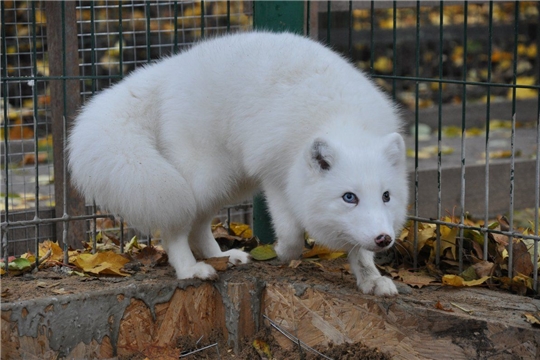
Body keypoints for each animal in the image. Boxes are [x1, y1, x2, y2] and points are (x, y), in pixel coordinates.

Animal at [67, 31, 408, 296]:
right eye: (349, 197)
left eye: (386, 196)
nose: (385, 239)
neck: (342, 119)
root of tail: (171, 65)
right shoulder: (276, 177)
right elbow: (293, 234)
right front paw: (281, 252)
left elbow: (360, 251)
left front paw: (371, 279)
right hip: (203, 179)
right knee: (177, 230)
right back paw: (190, 269)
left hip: (229, 182)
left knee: (199, 225)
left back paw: (222, 256)